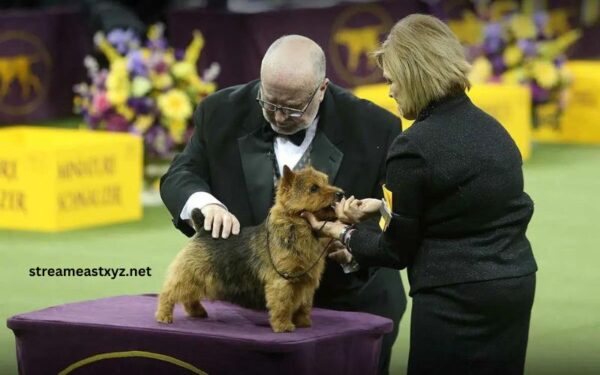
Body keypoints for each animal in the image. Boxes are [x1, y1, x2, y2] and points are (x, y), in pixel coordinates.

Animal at [155, 166, 342, 334]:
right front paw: (283, 326)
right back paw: (163, 316)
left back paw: (197, 311)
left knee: (189, 296)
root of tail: (202, 229)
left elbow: (304, 305)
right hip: (189, 273)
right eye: (314, 188)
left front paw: (303, 323)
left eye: (327, 182)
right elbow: (282, 305)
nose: (340, 193)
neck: (298, 228)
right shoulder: (282, 281)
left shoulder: (307, 282)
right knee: (169, 292)